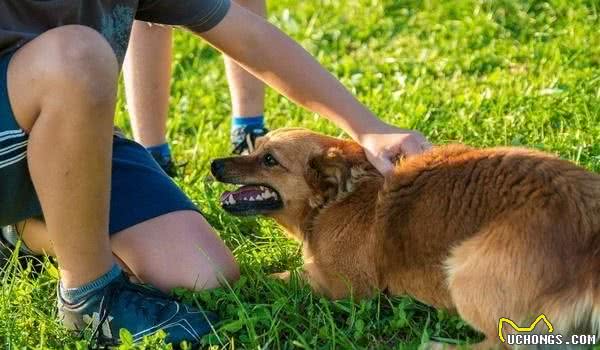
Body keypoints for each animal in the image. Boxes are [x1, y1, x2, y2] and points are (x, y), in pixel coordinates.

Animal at [211, 129, 600, 350]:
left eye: (269, 159)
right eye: (254, 147)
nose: (214, 164)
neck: (339, 197)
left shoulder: (340, 286)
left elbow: (270, 277)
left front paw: (237, 281)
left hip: (464, 267)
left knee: (505, 346)